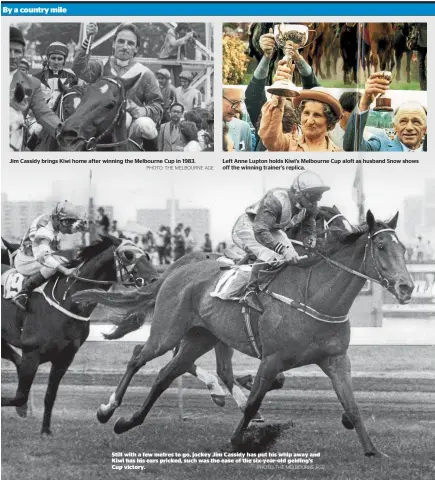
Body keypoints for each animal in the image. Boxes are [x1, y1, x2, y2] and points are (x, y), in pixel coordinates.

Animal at [0, 236, 158, 436]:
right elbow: (20, 396)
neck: (67, 301)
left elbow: (49, 395)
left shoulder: (64, 358)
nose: (155, 279)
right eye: (128, 255)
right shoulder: (32, 353)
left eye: (147, 255)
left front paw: (46, 430)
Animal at [82, 211, 416, 458]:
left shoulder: (335, 359)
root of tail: (176, 270)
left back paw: (127, 422)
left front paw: (373, 450)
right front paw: (235, 441)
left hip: (201, 337)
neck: (314, 297)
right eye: (382, 247)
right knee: (139, 356)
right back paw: (106, 409)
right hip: (168, 331)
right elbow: (255, 401)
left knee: (166, 375)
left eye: (403, 249)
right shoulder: (271, 359)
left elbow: (353, 405)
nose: (406, 287)